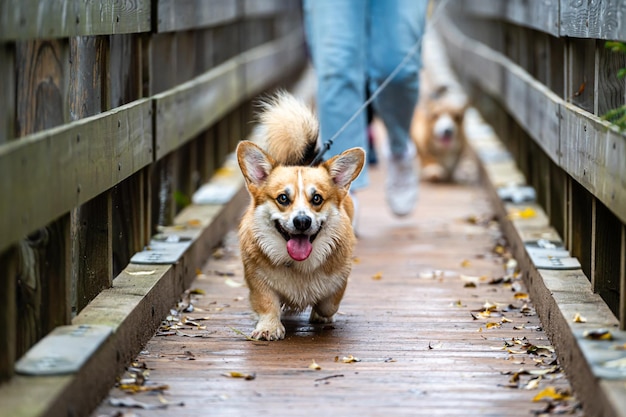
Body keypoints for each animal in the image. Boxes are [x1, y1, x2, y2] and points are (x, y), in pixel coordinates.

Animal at [234, 90, 364, 338]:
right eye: (283, 198)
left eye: (317, 199)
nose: (302, 221)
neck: (297, 265)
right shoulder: (256, 279)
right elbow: (266, 303)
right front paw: (268, 327)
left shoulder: (341, 278)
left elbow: (328, 303)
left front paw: (321, 315)